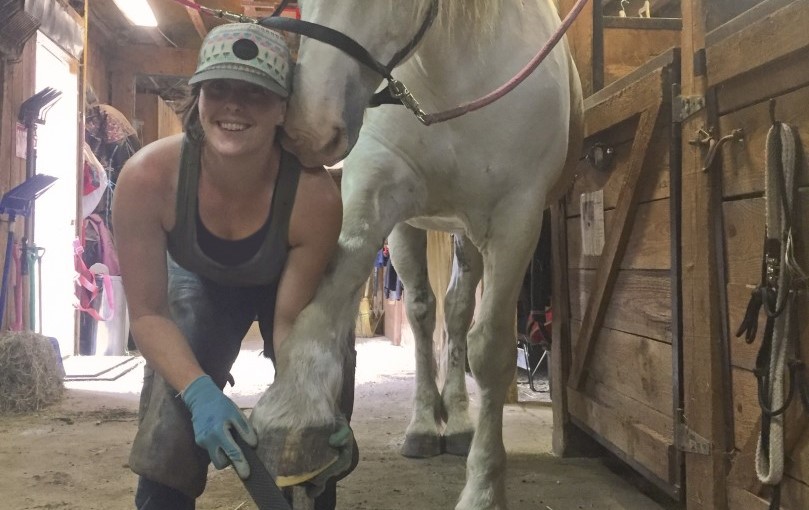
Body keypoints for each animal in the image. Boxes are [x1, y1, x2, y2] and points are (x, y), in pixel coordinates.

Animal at [250, 1, 583, 508]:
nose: (308, 129)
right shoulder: (376, 182)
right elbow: (336, 278)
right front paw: (294, 415)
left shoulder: (517, 218)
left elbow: (490, 351)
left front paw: (483, 489)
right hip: (411, 229)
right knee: (424, 313)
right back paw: (425, 425)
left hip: (469, 234)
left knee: (459, 314)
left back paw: (459, 421)